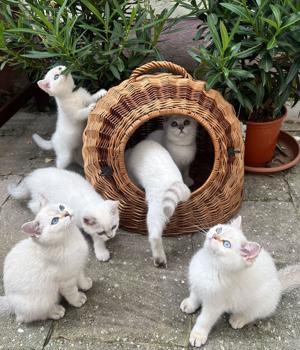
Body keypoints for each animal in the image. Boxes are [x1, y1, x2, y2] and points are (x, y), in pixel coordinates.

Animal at [180, 216, 300, 348]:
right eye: (219, 229)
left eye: (226, 244)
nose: (215, 236)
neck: (209, 263)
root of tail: (279, 283)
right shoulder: (197, 284)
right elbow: (194, 295)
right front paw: (190, 304)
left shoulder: (215, 304)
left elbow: (205, 319)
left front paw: (198, 334)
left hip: (262, 302)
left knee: (253, 313)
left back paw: (238, 319)